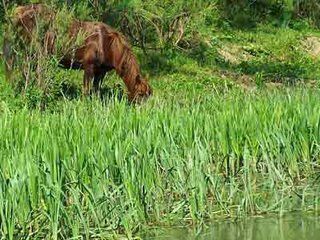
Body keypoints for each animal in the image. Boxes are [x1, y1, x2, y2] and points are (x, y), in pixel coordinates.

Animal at [3, 3, 151, 101]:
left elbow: (96, 91)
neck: (107, 44)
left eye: (147, 96)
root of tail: (20, 11)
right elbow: (86, 91)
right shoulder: (88, 66)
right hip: (35, 53)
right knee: (32, 72)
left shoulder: (101, 72)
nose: (143, 114)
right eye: (140, 94)